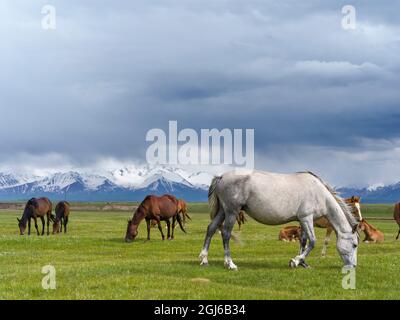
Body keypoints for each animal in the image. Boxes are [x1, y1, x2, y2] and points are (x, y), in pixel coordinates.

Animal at [199, 170, 360, 270]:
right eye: (354, 245)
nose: (353, 266)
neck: (319, 193)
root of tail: (222, 176)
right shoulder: (307, 218)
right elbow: (313, 242)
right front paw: (295, 261)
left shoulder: (302, 220)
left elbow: (304, 241)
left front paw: (302, 263)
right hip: (232, 212)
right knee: (226, 234)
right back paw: (230, 263)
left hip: (223, 211)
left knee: (211, 228)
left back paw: (204, 259)